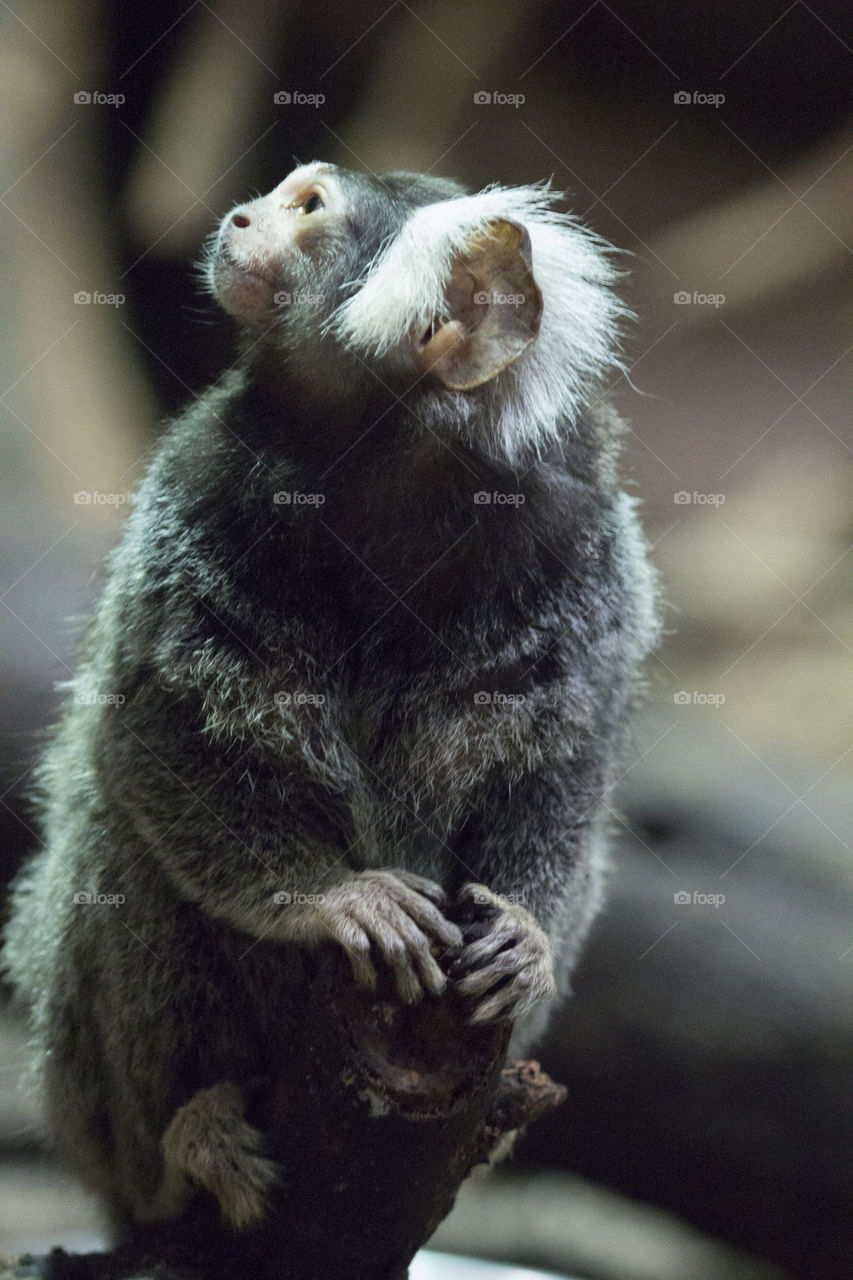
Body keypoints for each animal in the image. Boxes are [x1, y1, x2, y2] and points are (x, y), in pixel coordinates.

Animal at [3, 161, 658, 1236]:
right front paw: (329, 896)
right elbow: (156, 728)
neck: (389, 473)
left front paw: (521, 932)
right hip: (86, 1109)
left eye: (306, 208)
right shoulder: (199, 482)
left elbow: (563, 762)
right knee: (123, 858)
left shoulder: (583, 532)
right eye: (276, 194)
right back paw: (188, 1139)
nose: (237, 217)